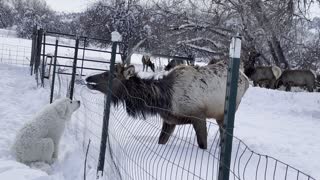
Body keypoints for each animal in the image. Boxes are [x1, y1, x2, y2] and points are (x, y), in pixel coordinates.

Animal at [85, 62, 250, 149]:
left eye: (110, 75)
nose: (88, 78)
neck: (163, 100)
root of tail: (246, 79)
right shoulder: (170, 120)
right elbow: (161, 141)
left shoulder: (198, 115)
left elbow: (203, 144)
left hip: (226, 113)